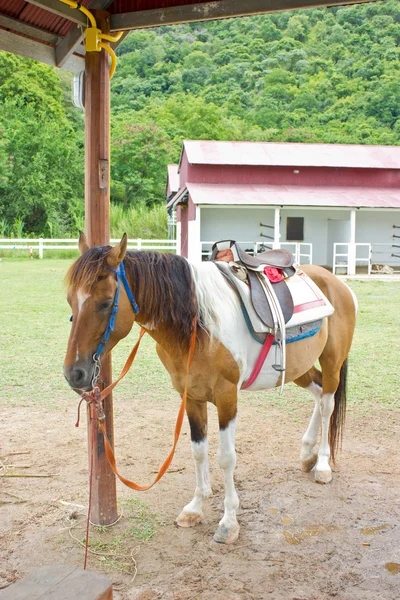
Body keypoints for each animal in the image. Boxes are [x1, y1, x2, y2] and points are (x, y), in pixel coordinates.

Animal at [65, 233, 356, 544]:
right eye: (70, 300)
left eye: (106, 303)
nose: (74, 373)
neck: (197, 325)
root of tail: (335, 281)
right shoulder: (191, 397)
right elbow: (198, 451)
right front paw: (195, 507)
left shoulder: (227, 397)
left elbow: (226, 458)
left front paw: (228, 521)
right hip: (298, 368)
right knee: (318, 393)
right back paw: (306, 454)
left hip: (332, 363)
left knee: (328, 403)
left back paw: (322, 464)